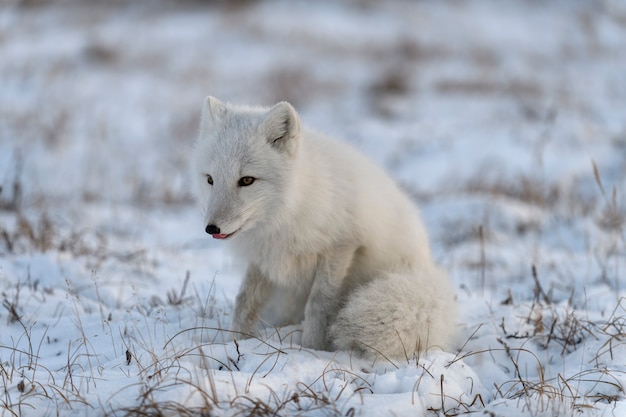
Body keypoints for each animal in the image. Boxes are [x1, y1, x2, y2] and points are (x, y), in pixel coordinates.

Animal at [191, 96, 454, 358]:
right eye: (210, 179)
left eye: (246, 180)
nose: (211, 229)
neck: (285, 215)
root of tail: (426, 266)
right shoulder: (263, 258)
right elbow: (244, 302)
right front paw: (234, 342)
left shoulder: (341, 247)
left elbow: (319, 304)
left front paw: (311, 349)